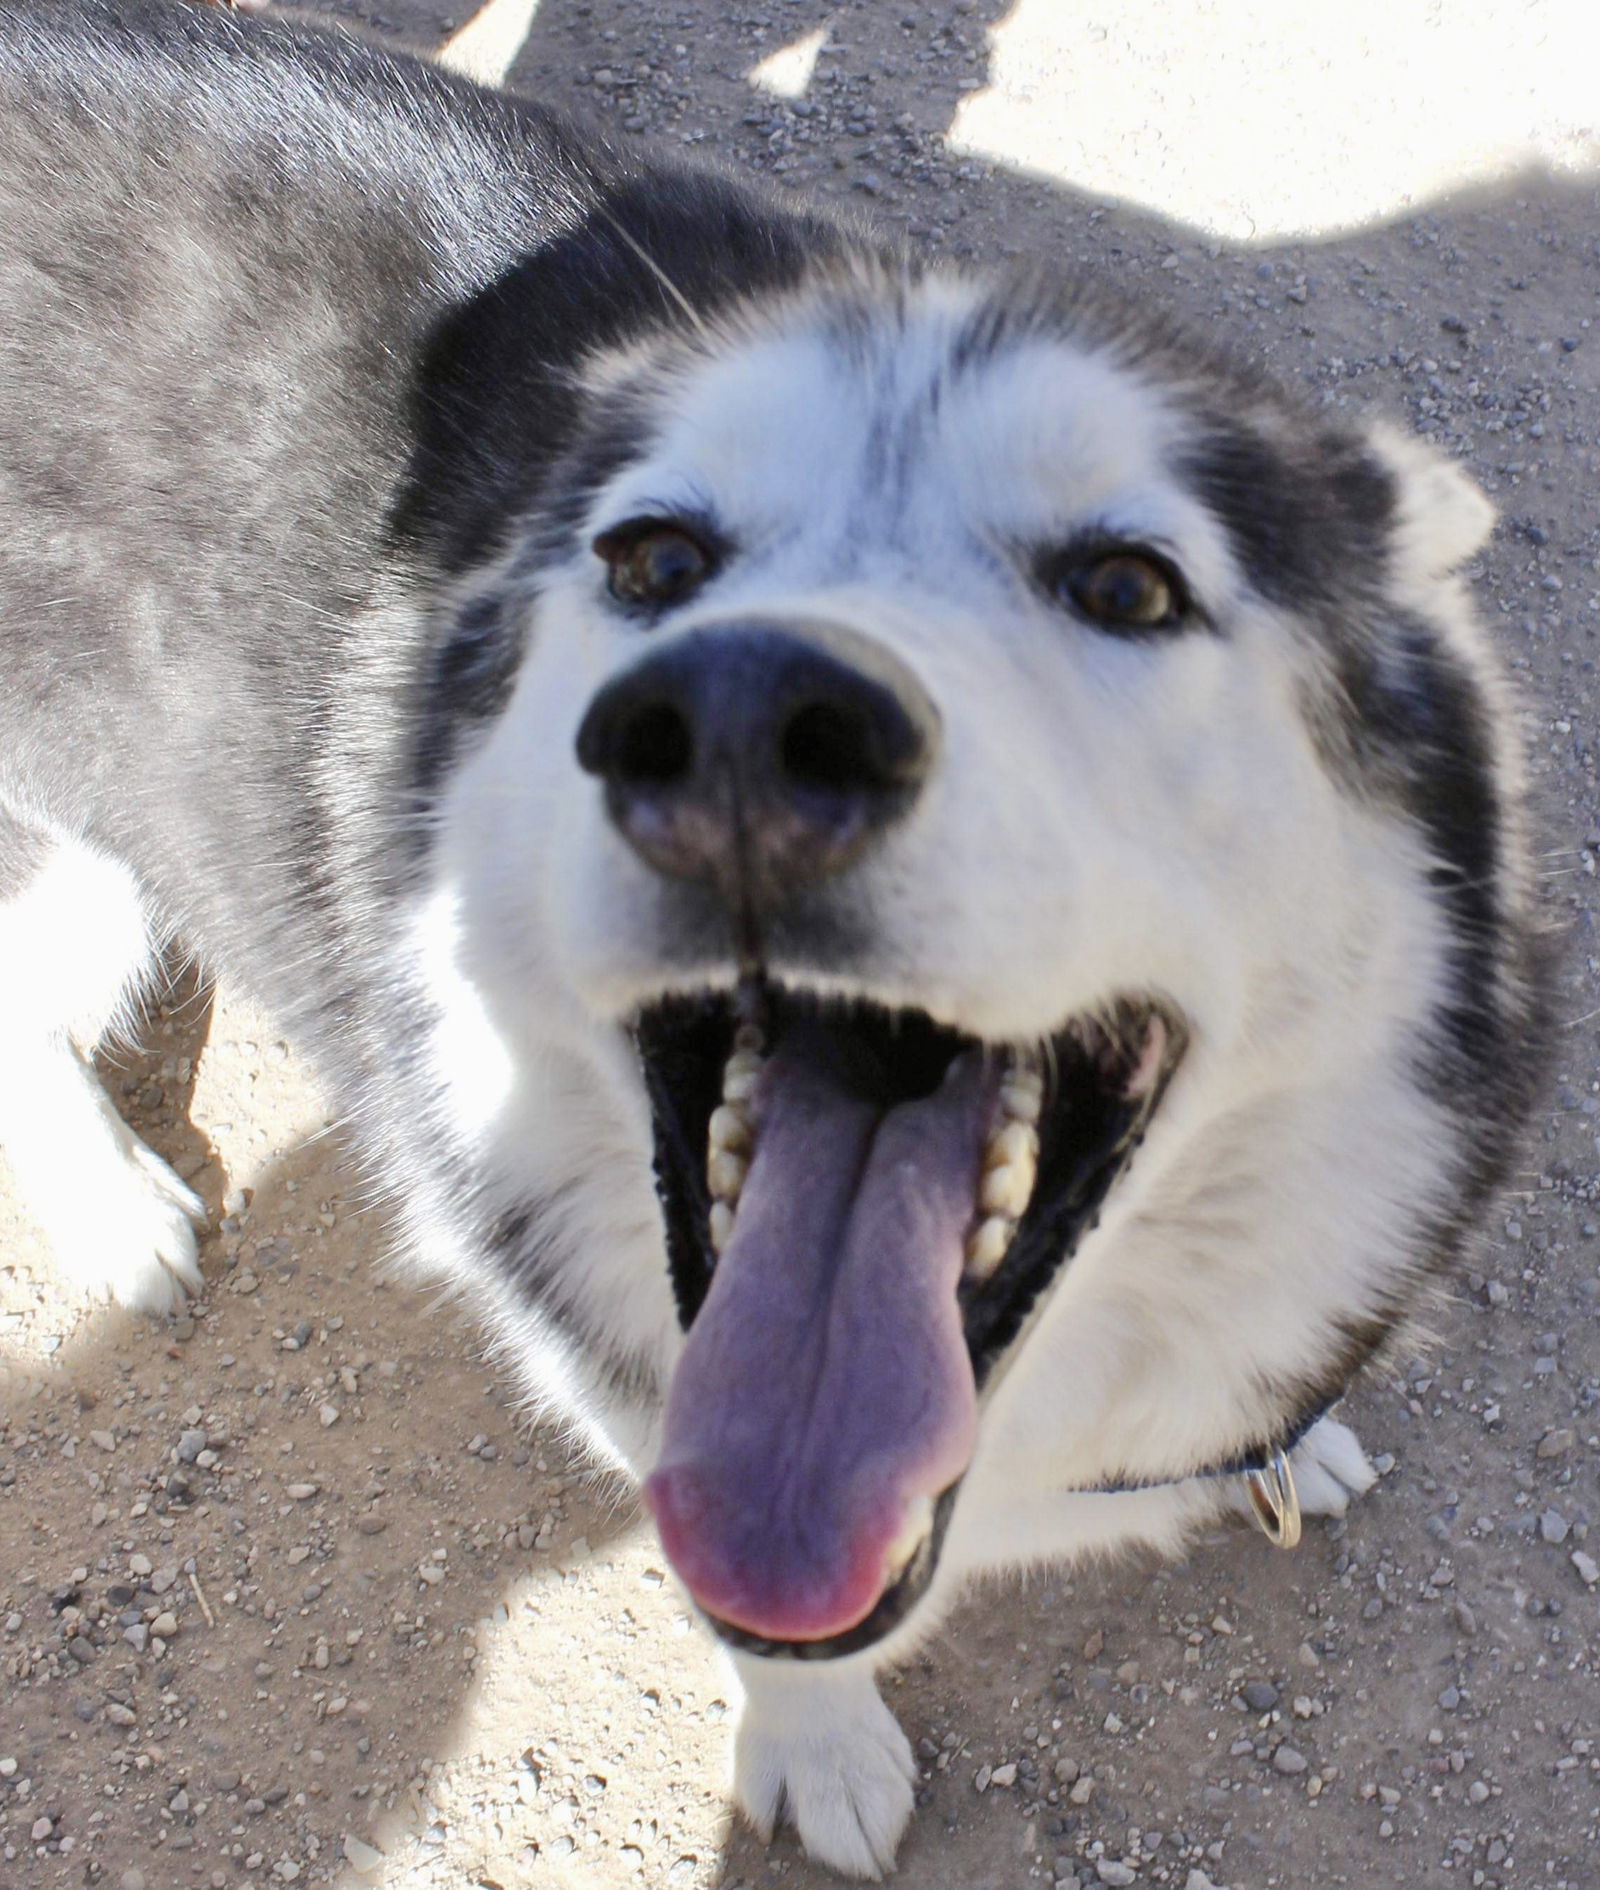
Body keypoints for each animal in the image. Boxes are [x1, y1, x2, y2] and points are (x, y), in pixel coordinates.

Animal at [0, 0, 1548, 1874]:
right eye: (655, 559)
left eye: (1127, 583)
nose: (738, 724)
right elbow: (756, 1615)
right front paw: (817, 1739)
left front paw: (1293, 1443)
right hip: (89, 839)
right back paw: (109, 1204)